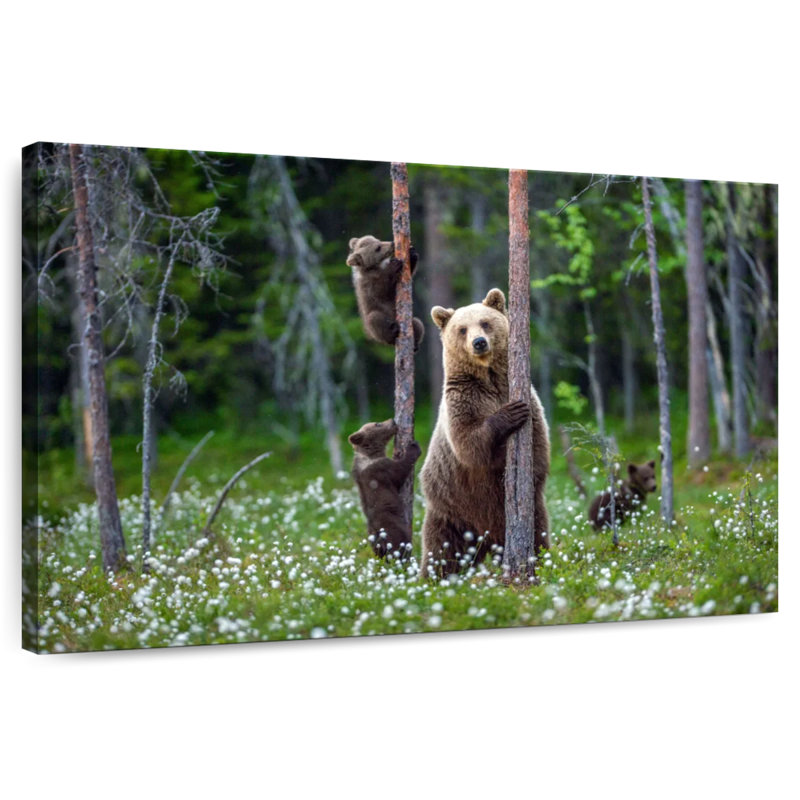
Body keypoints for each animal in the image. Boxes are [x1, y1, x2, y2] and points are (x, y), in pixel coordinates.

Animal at [348, 418, 422, 560]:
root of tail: (379, 538)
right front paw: (413, 447)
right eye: (377, 424)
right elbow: (400, 471)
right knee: (400, 544)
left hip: (373, 540)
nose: (392, 420)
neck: (371, 455)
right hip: (393, 528)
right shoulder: (381, 470)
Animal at [419, 288, 550, 578]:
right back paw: (432, 578)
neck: (489, 378)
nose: (479, 342)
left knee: (539, 533)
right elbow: (469, 443)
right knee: (442, 550)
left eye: (486, 322)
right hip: (451, 509)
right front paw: (510, 414)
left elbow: (538, 447)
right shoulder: (463, 400)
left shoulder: (528, 399)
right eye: (462, 329)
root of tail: (487, 539)